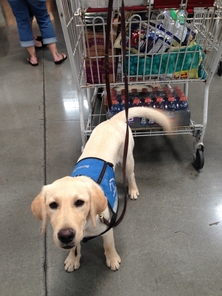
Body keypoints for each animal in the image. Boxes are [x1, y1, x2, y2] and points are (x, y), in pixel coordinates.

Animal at [31, 106, 170, 272]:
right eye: (52, 205)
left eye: (79, 202)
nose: (65, 235)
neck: (86, 226)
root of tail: (112, 120)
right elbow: (74, 246)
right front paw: (72, 258)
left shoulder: (108, 228)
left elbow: (108, 245)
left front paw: (112, 259)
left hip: (128, 159)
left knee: (131, 175)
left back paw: (133, 189)